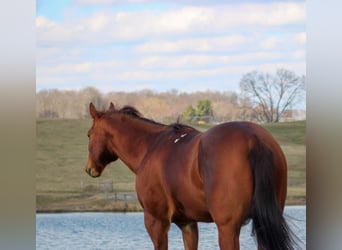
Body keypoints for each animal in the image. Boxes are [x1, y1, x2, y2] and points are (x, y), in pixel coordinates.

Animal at [84, 102, 296, 250]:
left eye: (89, 134)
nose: (89, 168)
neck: (150, 147)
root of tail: (253, 137)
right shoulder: (188, 224)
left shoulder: (156, 222)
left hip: (227, 228)